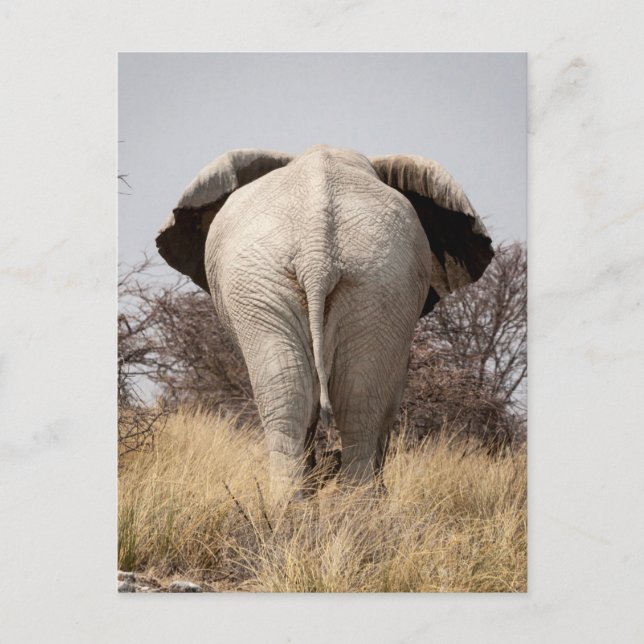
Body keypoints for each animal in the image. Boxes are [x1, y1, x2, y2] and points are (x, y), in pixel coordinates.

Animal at [156, 145, 493, 498]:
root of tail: (317, 251)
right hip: (297, 281)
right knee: (338, 399)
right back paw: (338, 505)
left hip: (364, 282)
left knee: (320, 396)